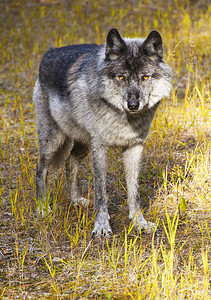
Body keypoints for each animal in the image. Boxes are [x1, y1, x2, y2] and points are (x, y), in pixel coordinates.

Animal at [32, 29, 171, 238]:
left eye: (145, 77)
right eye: (121, 77)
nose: (133, 105)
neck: (125, 119)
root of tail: (49, 52)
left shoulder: (134, 147)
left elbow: (134, 192)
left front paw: (139, 223)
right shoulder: (99, 147)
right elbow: (100, 192)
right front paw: (102, 226)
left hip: (83, 145)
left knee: (70, 162)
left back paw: (76, 200)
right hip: (53, 141)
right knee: (40, 170)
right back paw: (42, 208)